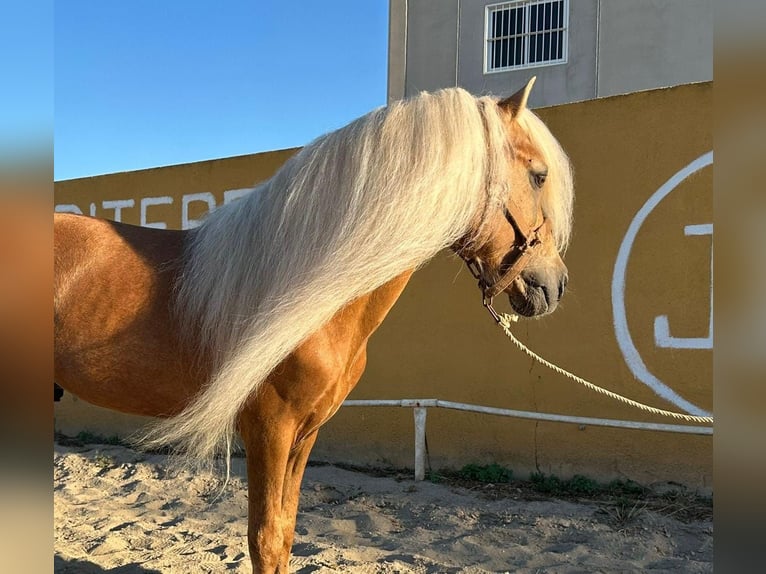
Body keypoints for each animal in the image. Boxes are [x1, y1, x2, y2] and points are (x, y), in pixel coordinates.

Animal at [54, 79, 572, 572]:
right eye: (538, 175)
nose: (555, 285)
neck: (311, 295)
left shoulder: (305, 433)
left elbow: (285, 534)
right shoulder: (269, 429)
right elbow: (264, 540)